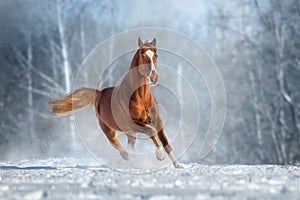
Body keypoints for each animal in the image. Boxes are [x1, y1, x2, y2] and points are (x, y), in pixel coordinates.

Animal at [49, 38, 183, 169]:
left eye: (156, 55)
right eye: (143, 55)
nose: (153, 78)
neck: (141, 97)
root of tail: (99, 93)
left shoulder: (156, 120)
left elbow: (165, 140)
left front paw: (178, 165)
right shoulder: (133, 124)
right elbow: (151, 131)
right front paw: (160, 155)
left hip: (129, 133)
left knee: (129, 148)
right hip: (110, 132)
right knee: (122, 151)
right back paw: (132, 162)